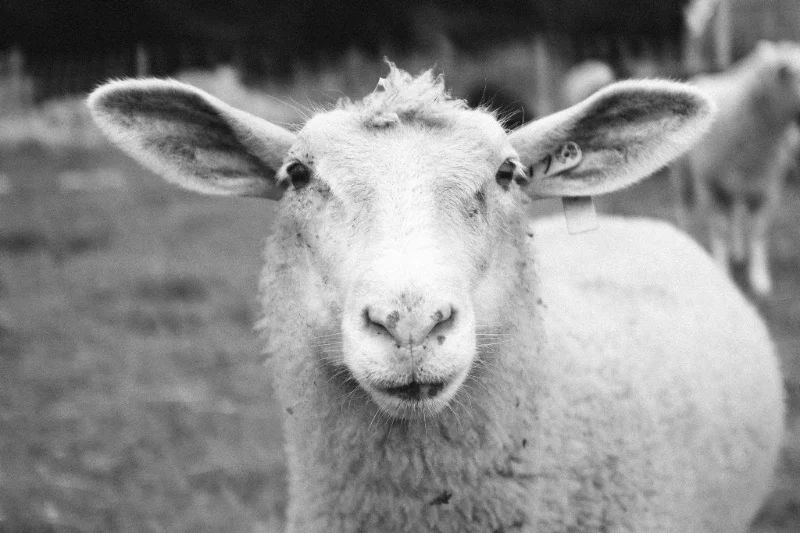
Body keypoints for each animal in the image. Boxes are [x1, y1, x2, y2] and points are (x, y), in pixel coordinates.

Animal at [671, 40, 800, 297]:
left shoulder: (767, 190)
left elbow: (758, 233)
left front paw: (759, 278)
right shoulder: (710, 187)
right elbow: (720, 230)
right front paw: (722, 272)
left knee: (736, 216)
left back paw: (738, 251)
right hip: (686, 176)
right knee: (684, 210)